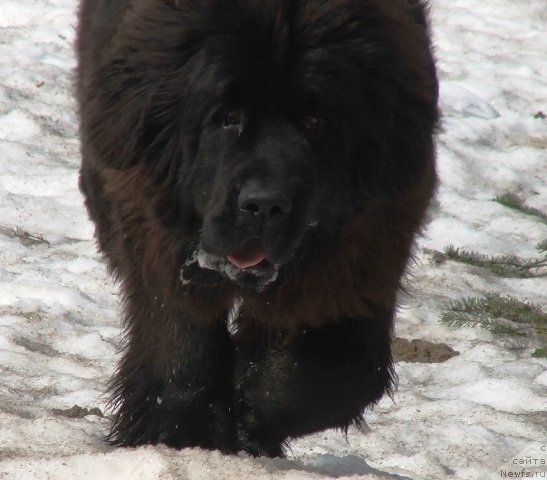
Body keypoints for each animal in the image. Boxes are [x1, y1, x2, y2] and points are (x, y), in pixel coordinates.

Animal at [77, 0, 438, 458]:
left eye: (315, 121)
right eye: (228, 117)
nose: (263, 204)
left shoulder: (362, 253)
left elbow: (334, 371)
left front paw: (251, 414)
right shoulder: (152, 226)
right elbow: (181, 339)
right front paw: (183, 433)